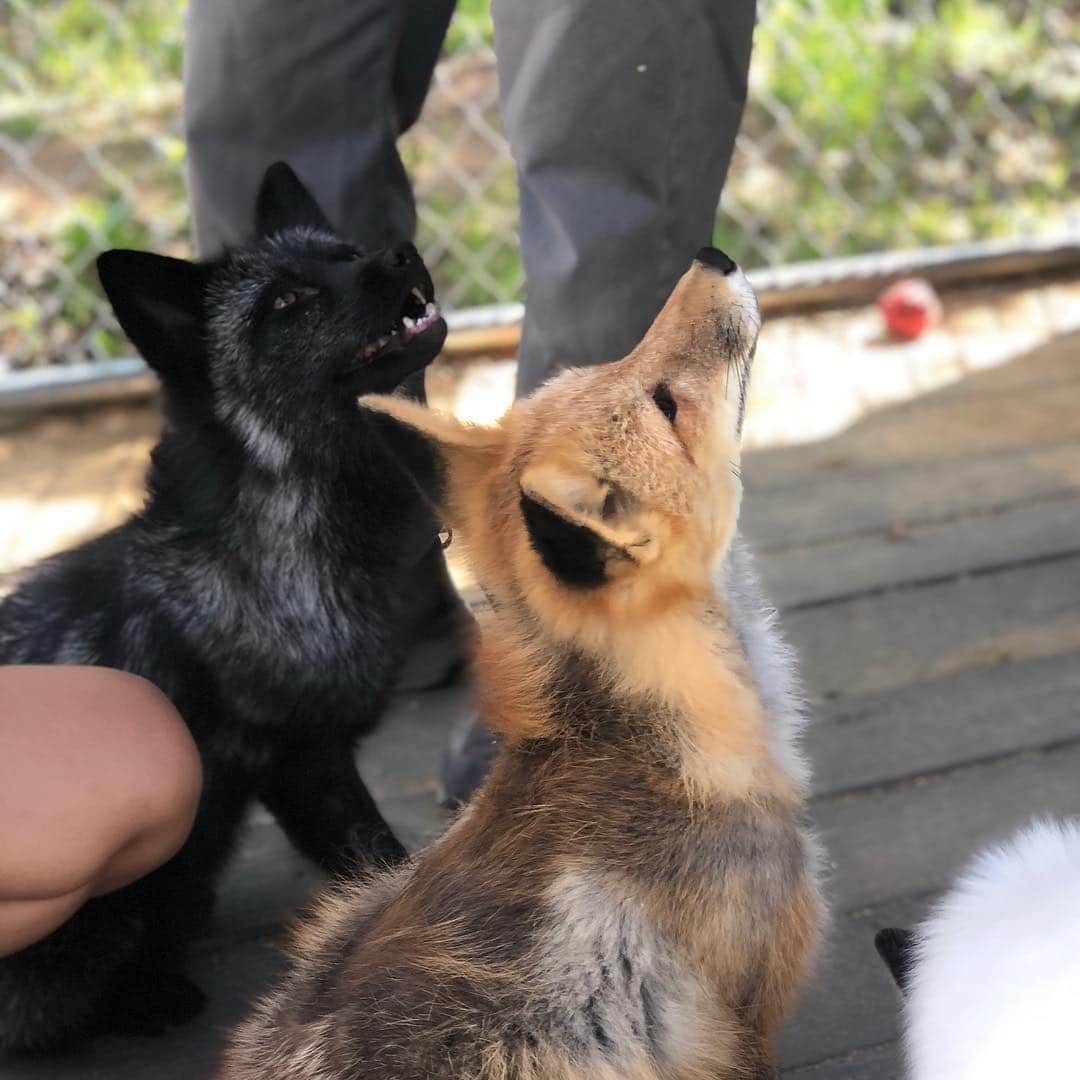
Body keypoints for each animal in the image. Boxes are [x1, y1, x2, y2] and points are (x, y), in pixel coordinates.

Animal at [0, 163, 454, 1052]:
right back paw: (149, 995)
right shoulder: (302, 757)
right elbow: (379, 857)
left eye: (344, 252)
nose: (401, 249)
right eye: (283, 303)